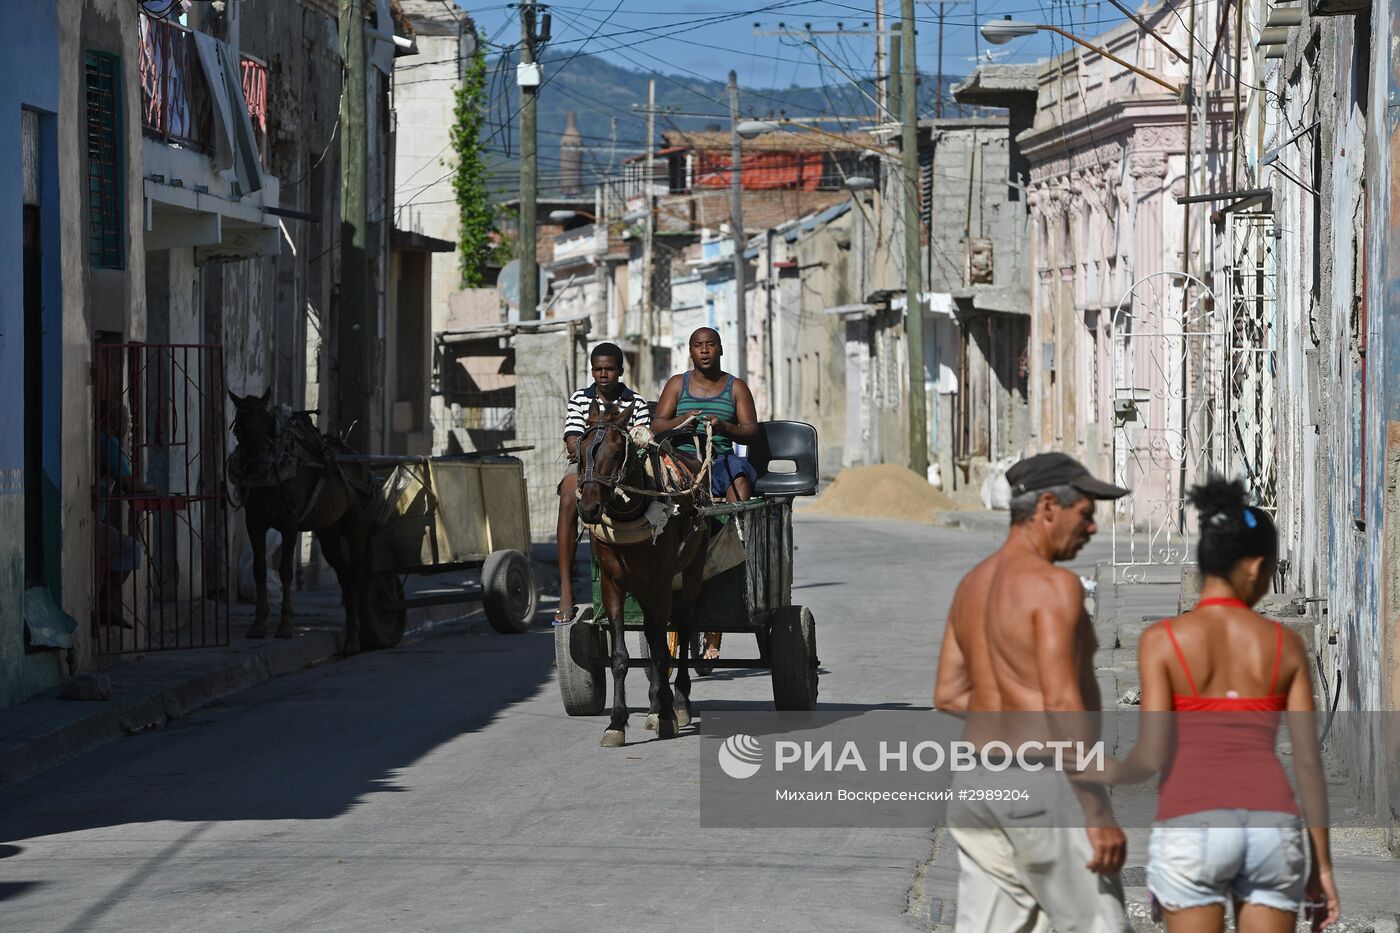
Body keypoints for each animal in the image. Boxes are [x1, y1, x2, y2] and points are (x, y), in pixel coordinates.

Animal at [232, 389, 380, 652]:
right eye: (240, 427)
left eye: (268, 423)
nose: (259, 469)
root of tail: (361, 464)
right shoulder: (254, 523)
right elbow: (259, 569)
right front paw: (258, 624)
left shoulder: (290, 524)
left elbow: (285, 571)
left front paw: (285, 625)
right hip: (329, 532)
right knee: (344, 575)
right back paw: (351, 634)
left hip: (356, 528)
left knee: (355, 574)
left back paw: (355, 638)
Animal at [576, 397, 711, 739]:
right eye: (580, 452)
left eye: (615, 453)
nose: (588, 508)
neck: (629, 512)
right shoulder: (613, 584)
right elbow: (621, 656)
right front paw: (616, 723)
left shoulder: (661, 583)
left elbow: (664, 650)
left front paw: (667, 716)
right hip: (642, 588)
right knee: (652, 635)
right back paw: (654, 705)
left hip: (689, 574)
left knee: (682, 629)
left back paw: (678, 703)